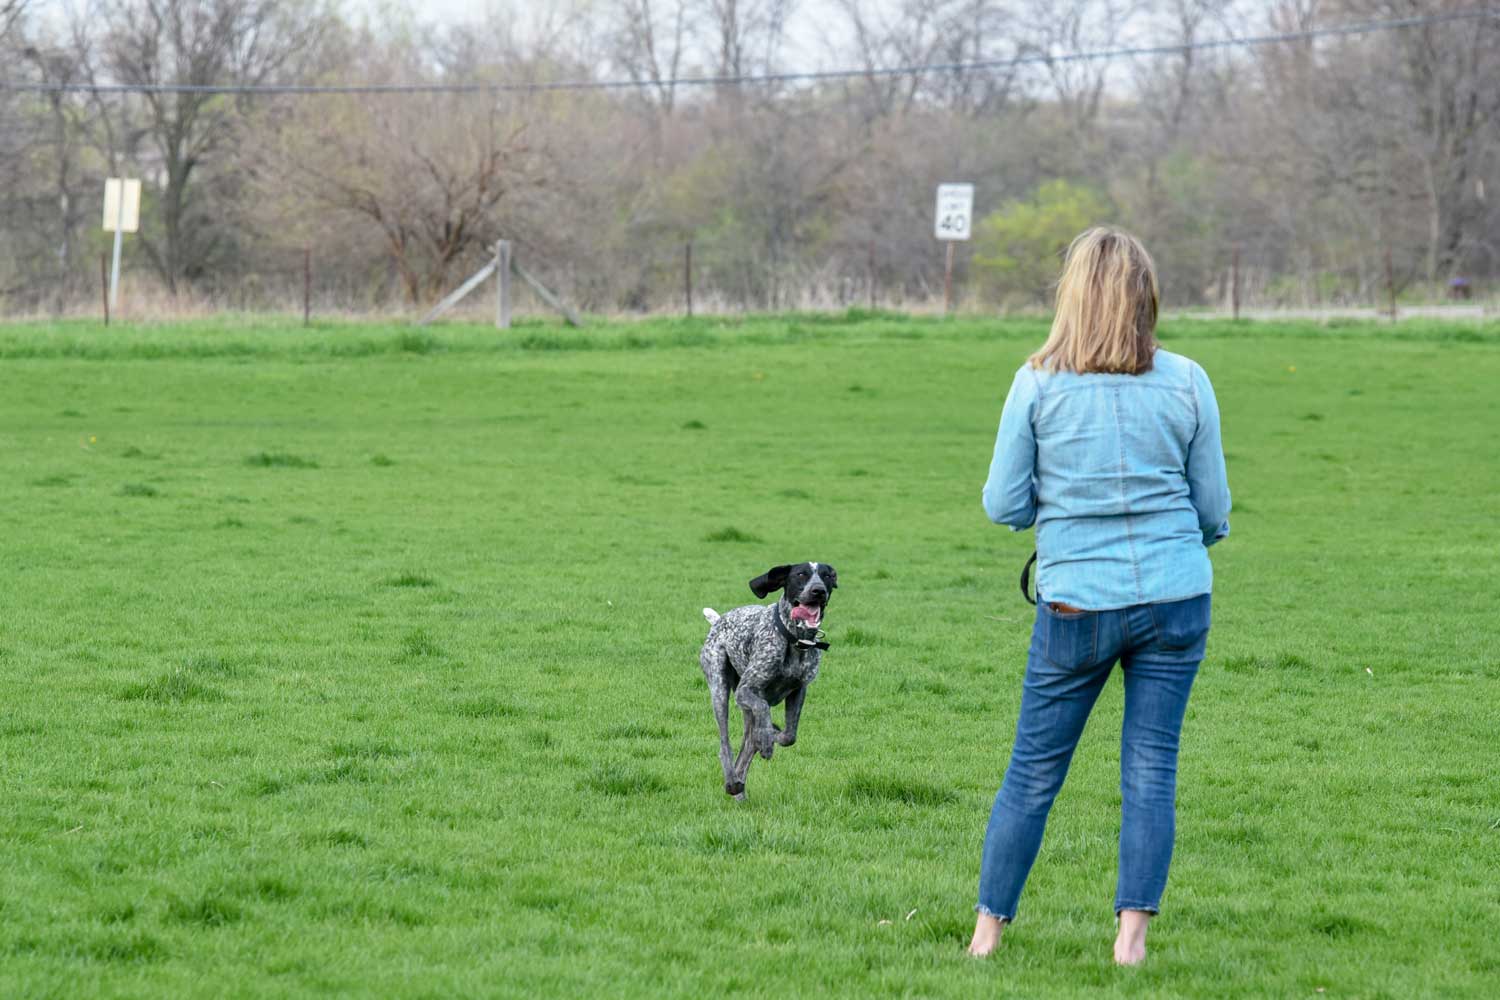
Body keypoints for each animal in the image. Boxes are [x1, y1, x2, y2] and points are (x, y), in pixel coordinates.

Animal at [699, 566, 840, 803]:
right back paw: (732, 782)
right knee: (725, 745)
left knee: (746, 749)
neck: (795, 639)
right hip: (719, 688)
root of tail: (719, 620)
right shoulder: (746, 691)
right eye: (800, 574)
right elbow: (763, 709)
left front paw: (770, 735)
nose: (818, 591)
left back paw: (740, 788)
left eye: (827, 575)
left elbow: (789, 735)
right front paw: (766, 737)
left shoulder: (799, 690)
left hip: (744, 710)